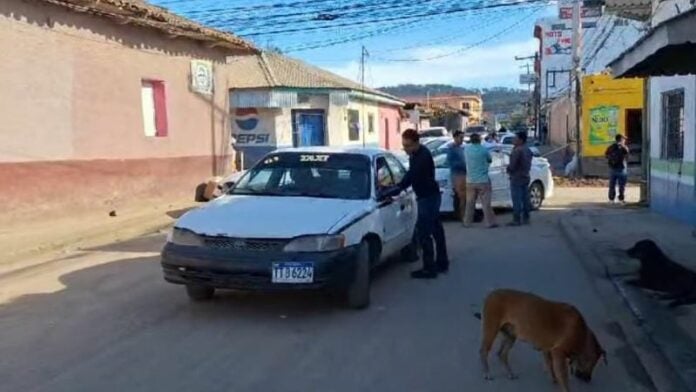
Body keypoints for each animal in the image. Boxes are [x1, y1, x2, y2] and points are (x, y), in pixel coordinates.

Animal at [476, 290, 608, 390]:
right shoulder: (558, 353)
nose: (588, 380)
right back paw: (487, 372)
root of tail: (491, 294)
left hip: (511, 336)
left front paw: (553, 378)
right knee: (483, 351)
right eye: (593, 363)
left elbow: (550, 366)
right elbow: (563, 378)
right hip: (491, 330)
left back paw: (510, 373)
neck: (583, 336)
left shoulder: (547, 350)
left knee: (502, 354)